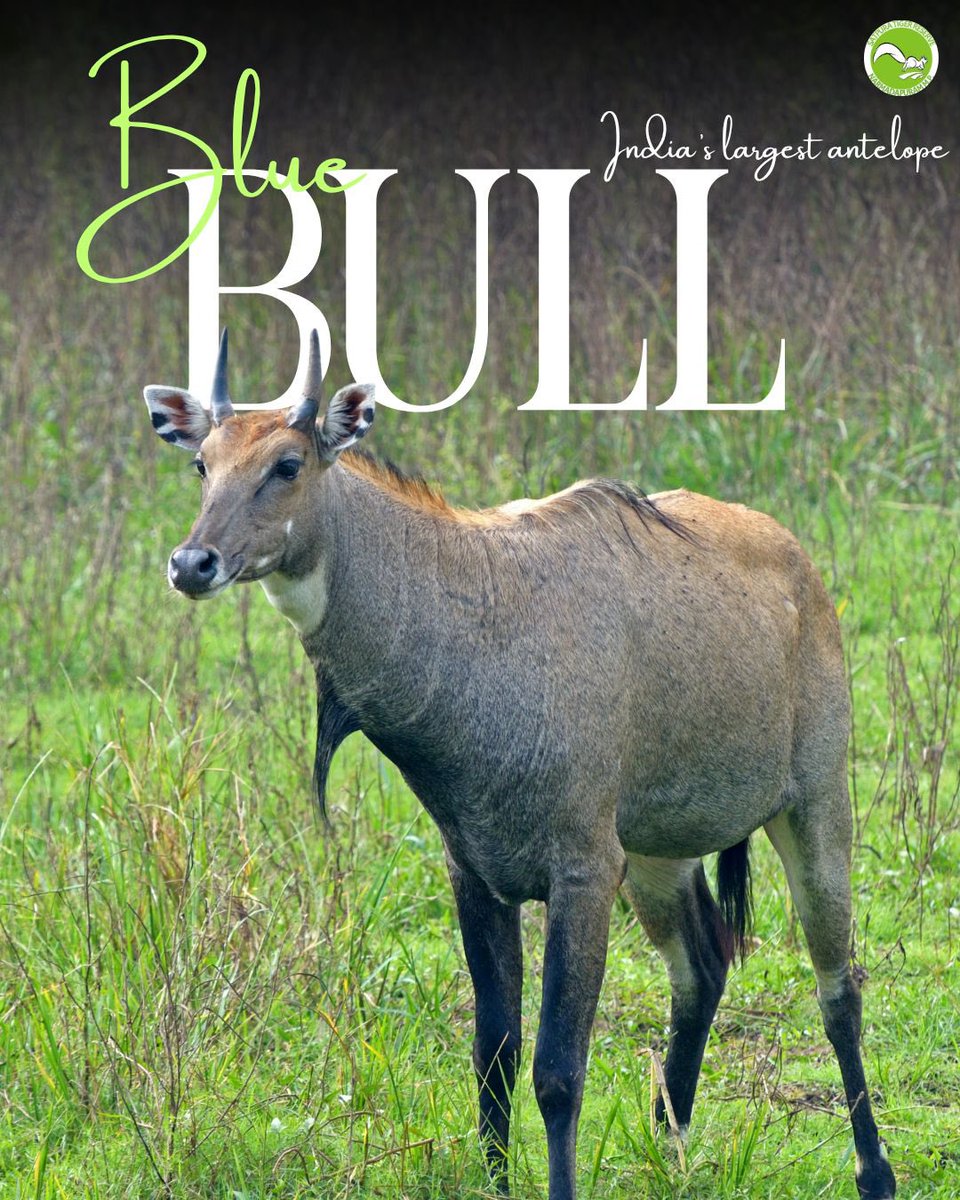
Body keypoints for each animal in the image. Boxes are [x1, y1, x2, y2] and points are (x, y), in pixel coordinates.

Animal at [144, 330, 895, 1200]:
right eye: (203, 463)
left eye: (288, 464)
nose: (192, 563)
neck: (475, 617)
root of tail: (793, 556)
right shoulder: (476, 869)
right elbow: (494, 1052)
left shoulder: (581, 871)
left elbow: (559, 1070)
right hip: (655, 852)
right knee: (702, 968)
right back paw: (669, 1142)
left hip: (812, 806)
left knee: (838, 986)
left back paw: (874, 1170)